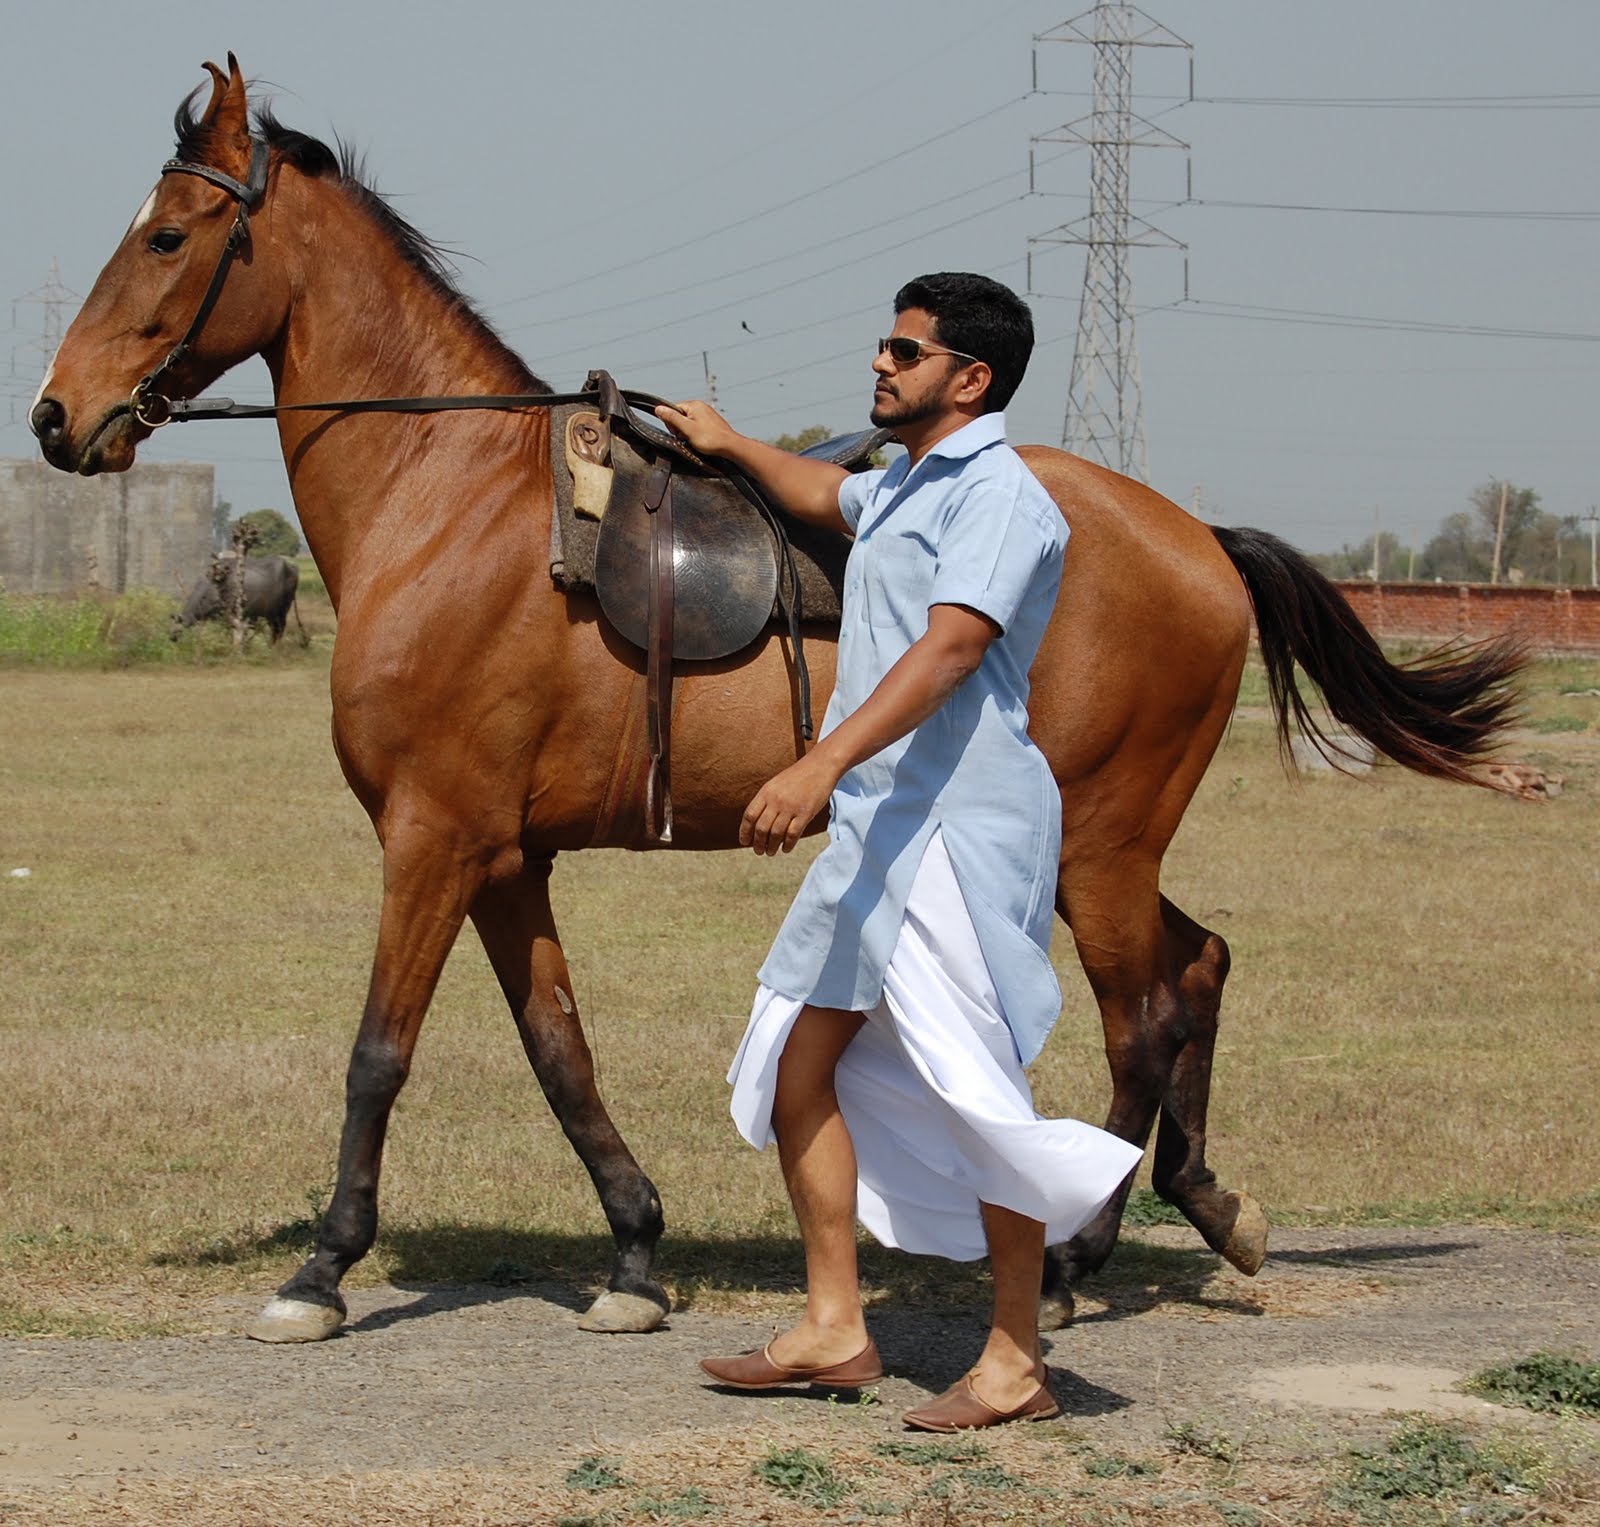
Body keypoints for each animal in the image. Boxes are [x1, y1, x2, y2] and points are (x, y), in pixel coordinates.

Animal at [32, 58, 1522, 1343]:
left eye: (167, 237)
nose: (56, 416)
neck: (447, 500)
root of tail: (1198, 537)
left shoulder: (432, 836)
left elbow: (377, 1054)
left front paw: (322, 1268)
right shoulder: (505, 856)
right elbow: (559, 1050)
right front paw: (635, 1251)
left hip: (1097, 846)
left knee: (1144, 1015)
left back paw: (1076, 1260)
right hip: (1100, 844)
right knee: (1199, 966)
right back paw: (1205, 1206)